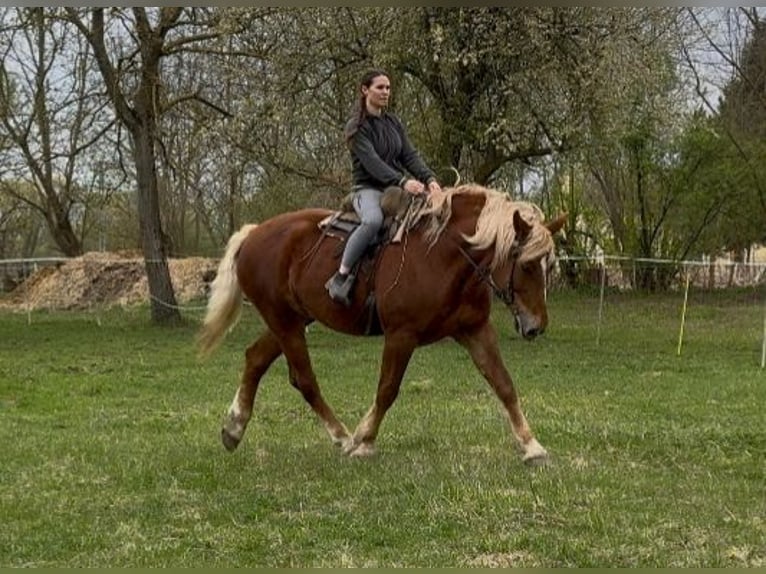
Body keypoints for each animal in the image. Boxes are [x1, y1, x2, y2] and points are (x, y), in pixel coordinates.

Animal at [198, 184, 567, 463]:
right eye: (528, 265)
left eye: (548, 265)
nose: (536, 326)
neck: (443, 255)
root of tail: (253, 234)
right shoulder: (401, 335)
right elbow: (387, 390)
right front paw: (364, 440)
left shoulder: (475, 330)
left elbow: (503, 384)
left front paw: (532, 446)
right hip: (284, 321)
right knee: (304, 379)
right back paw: (342, 437)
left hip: (292, 320)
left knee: (256, 359)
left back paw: (234, 428)